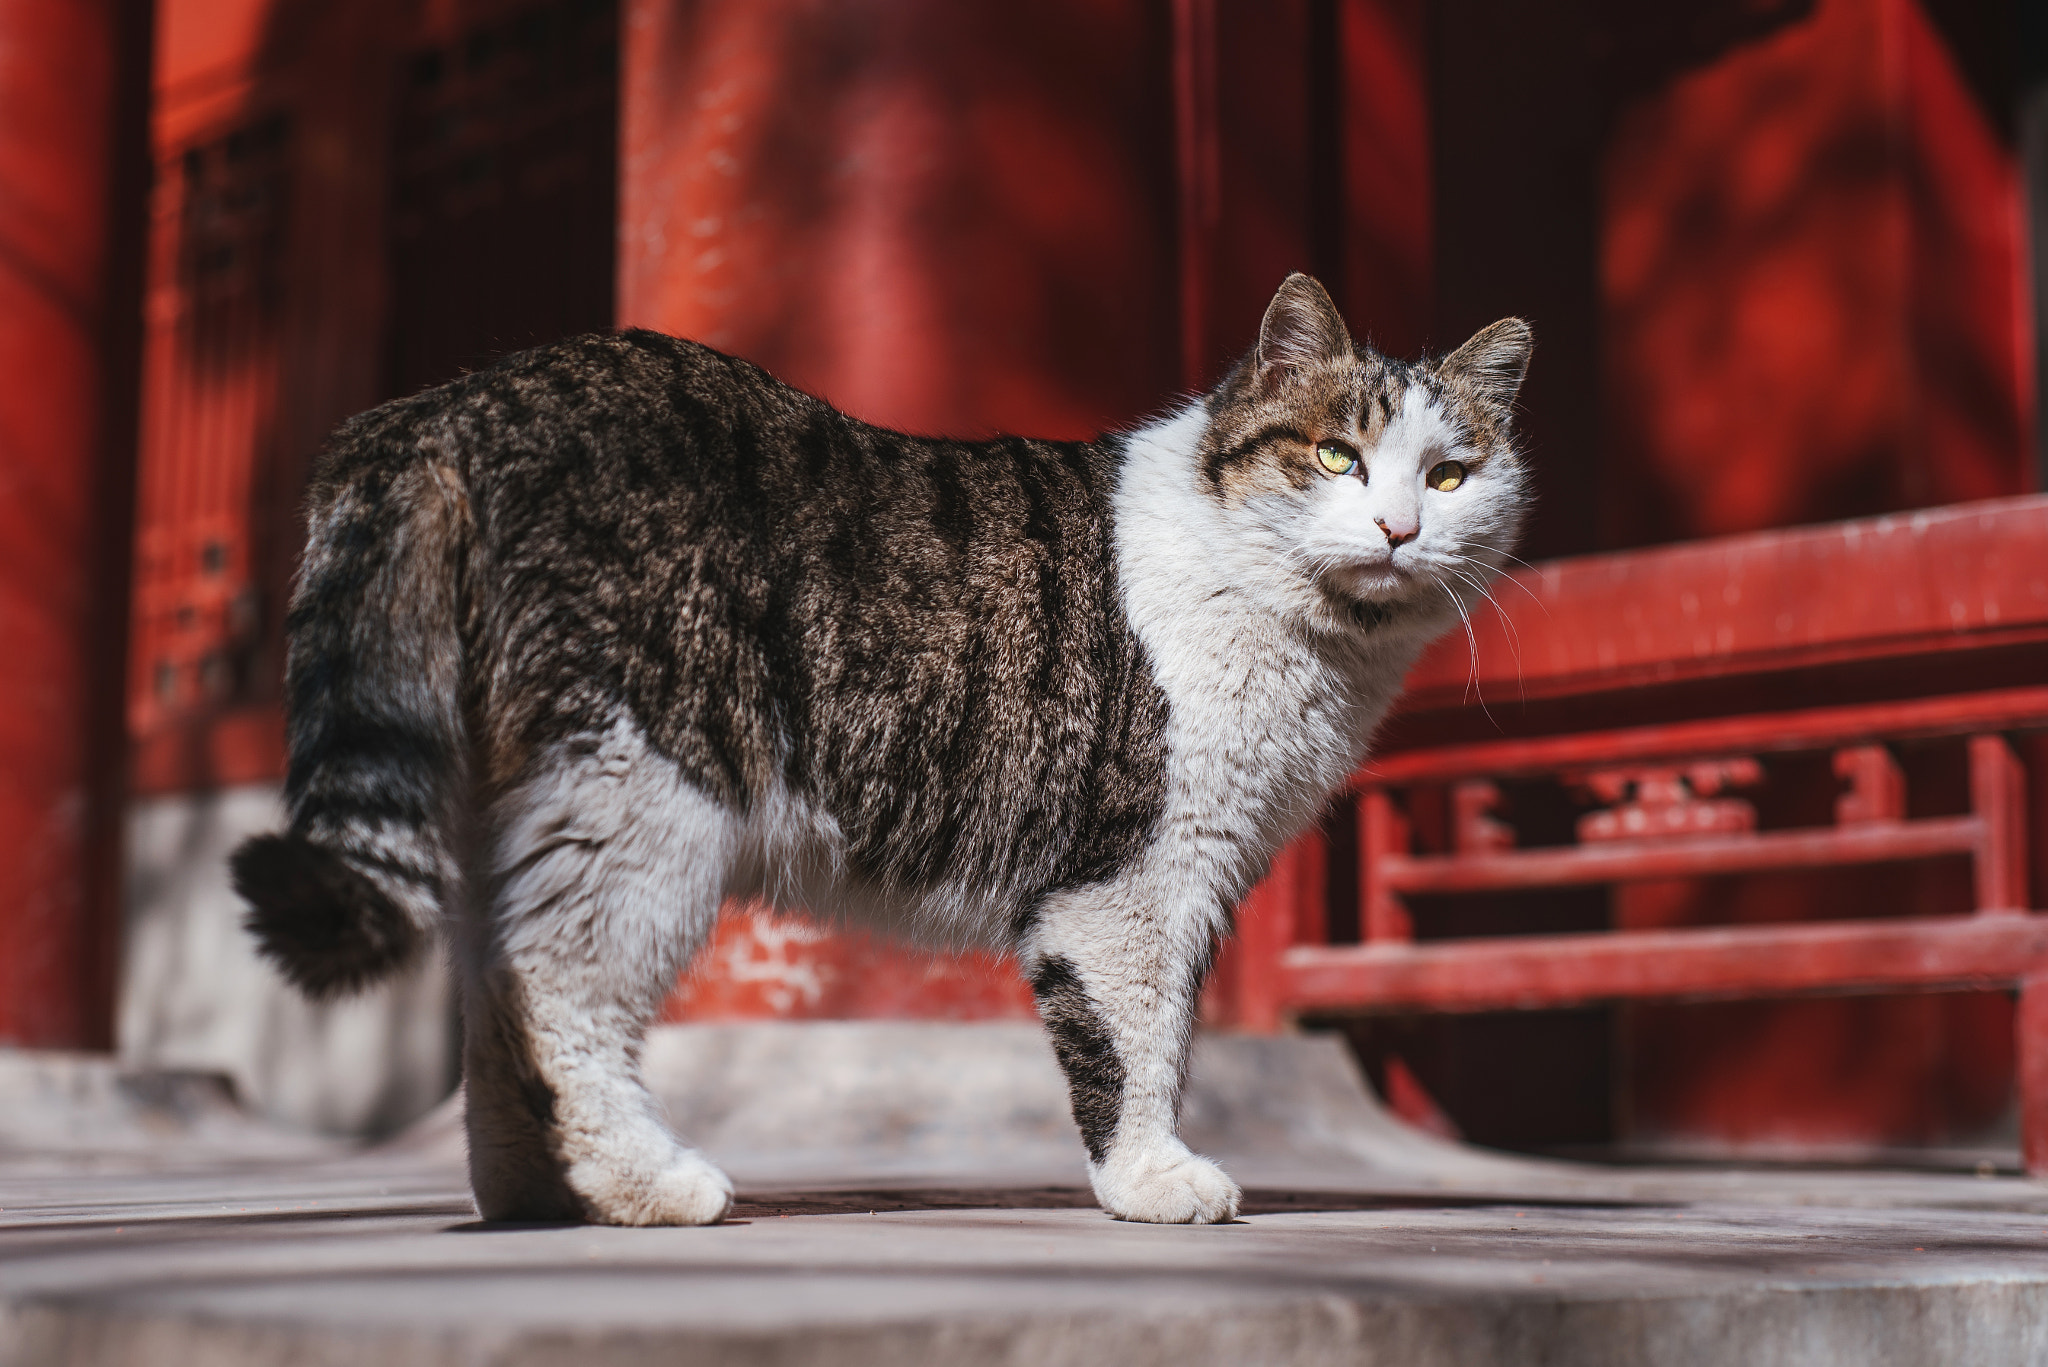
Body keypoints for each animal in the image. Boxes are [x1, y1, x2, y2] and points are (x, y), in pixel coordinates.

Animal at [232, 274, 1531, 1229]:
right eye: (1333, 456)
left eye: (1450, 474)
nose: (1398, 528)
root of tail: (449, 403)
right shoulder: (1137, 883)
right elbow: (1142, 1040)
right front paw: (1153, 1180)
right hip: (642, 786)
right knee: (552, 981)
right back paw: (647, 1184)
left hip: (517, 792)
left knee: (492, 999)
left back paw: (534, 1198)